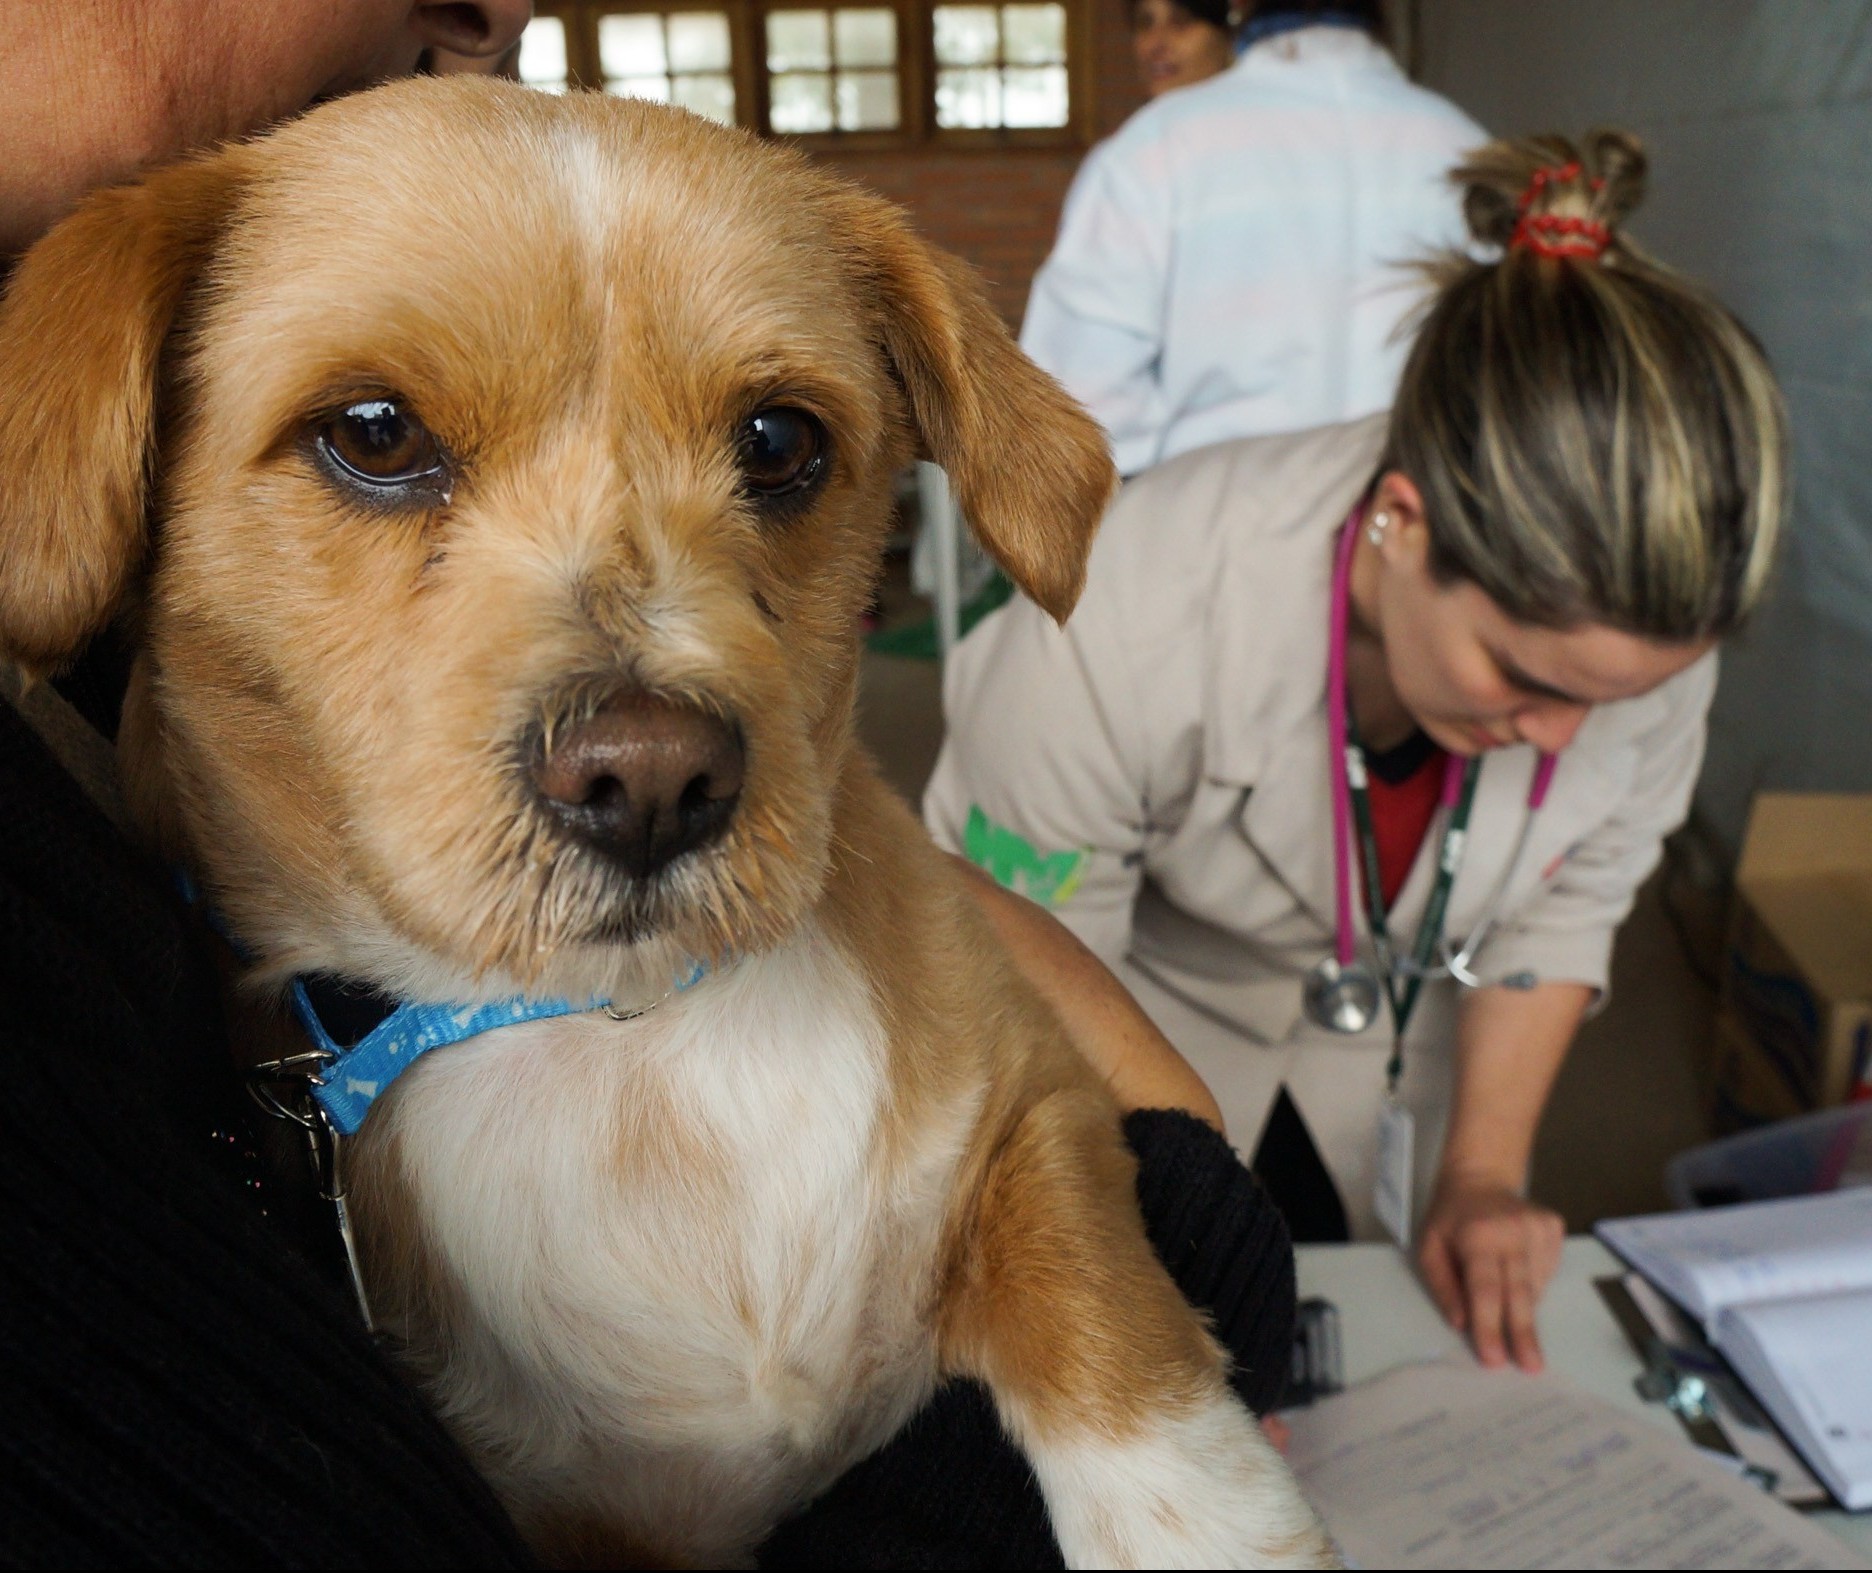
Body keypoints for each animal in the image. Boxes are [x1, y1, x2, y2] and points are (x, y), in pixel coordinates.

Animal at [0, 80, 1332, 1565]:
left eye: (780, 441)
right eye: (374, 431)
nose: (651, 780)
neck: (626, 1047)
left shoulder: (1034, 1096)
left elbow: (1101, 1310)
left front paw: (1212, 1520)